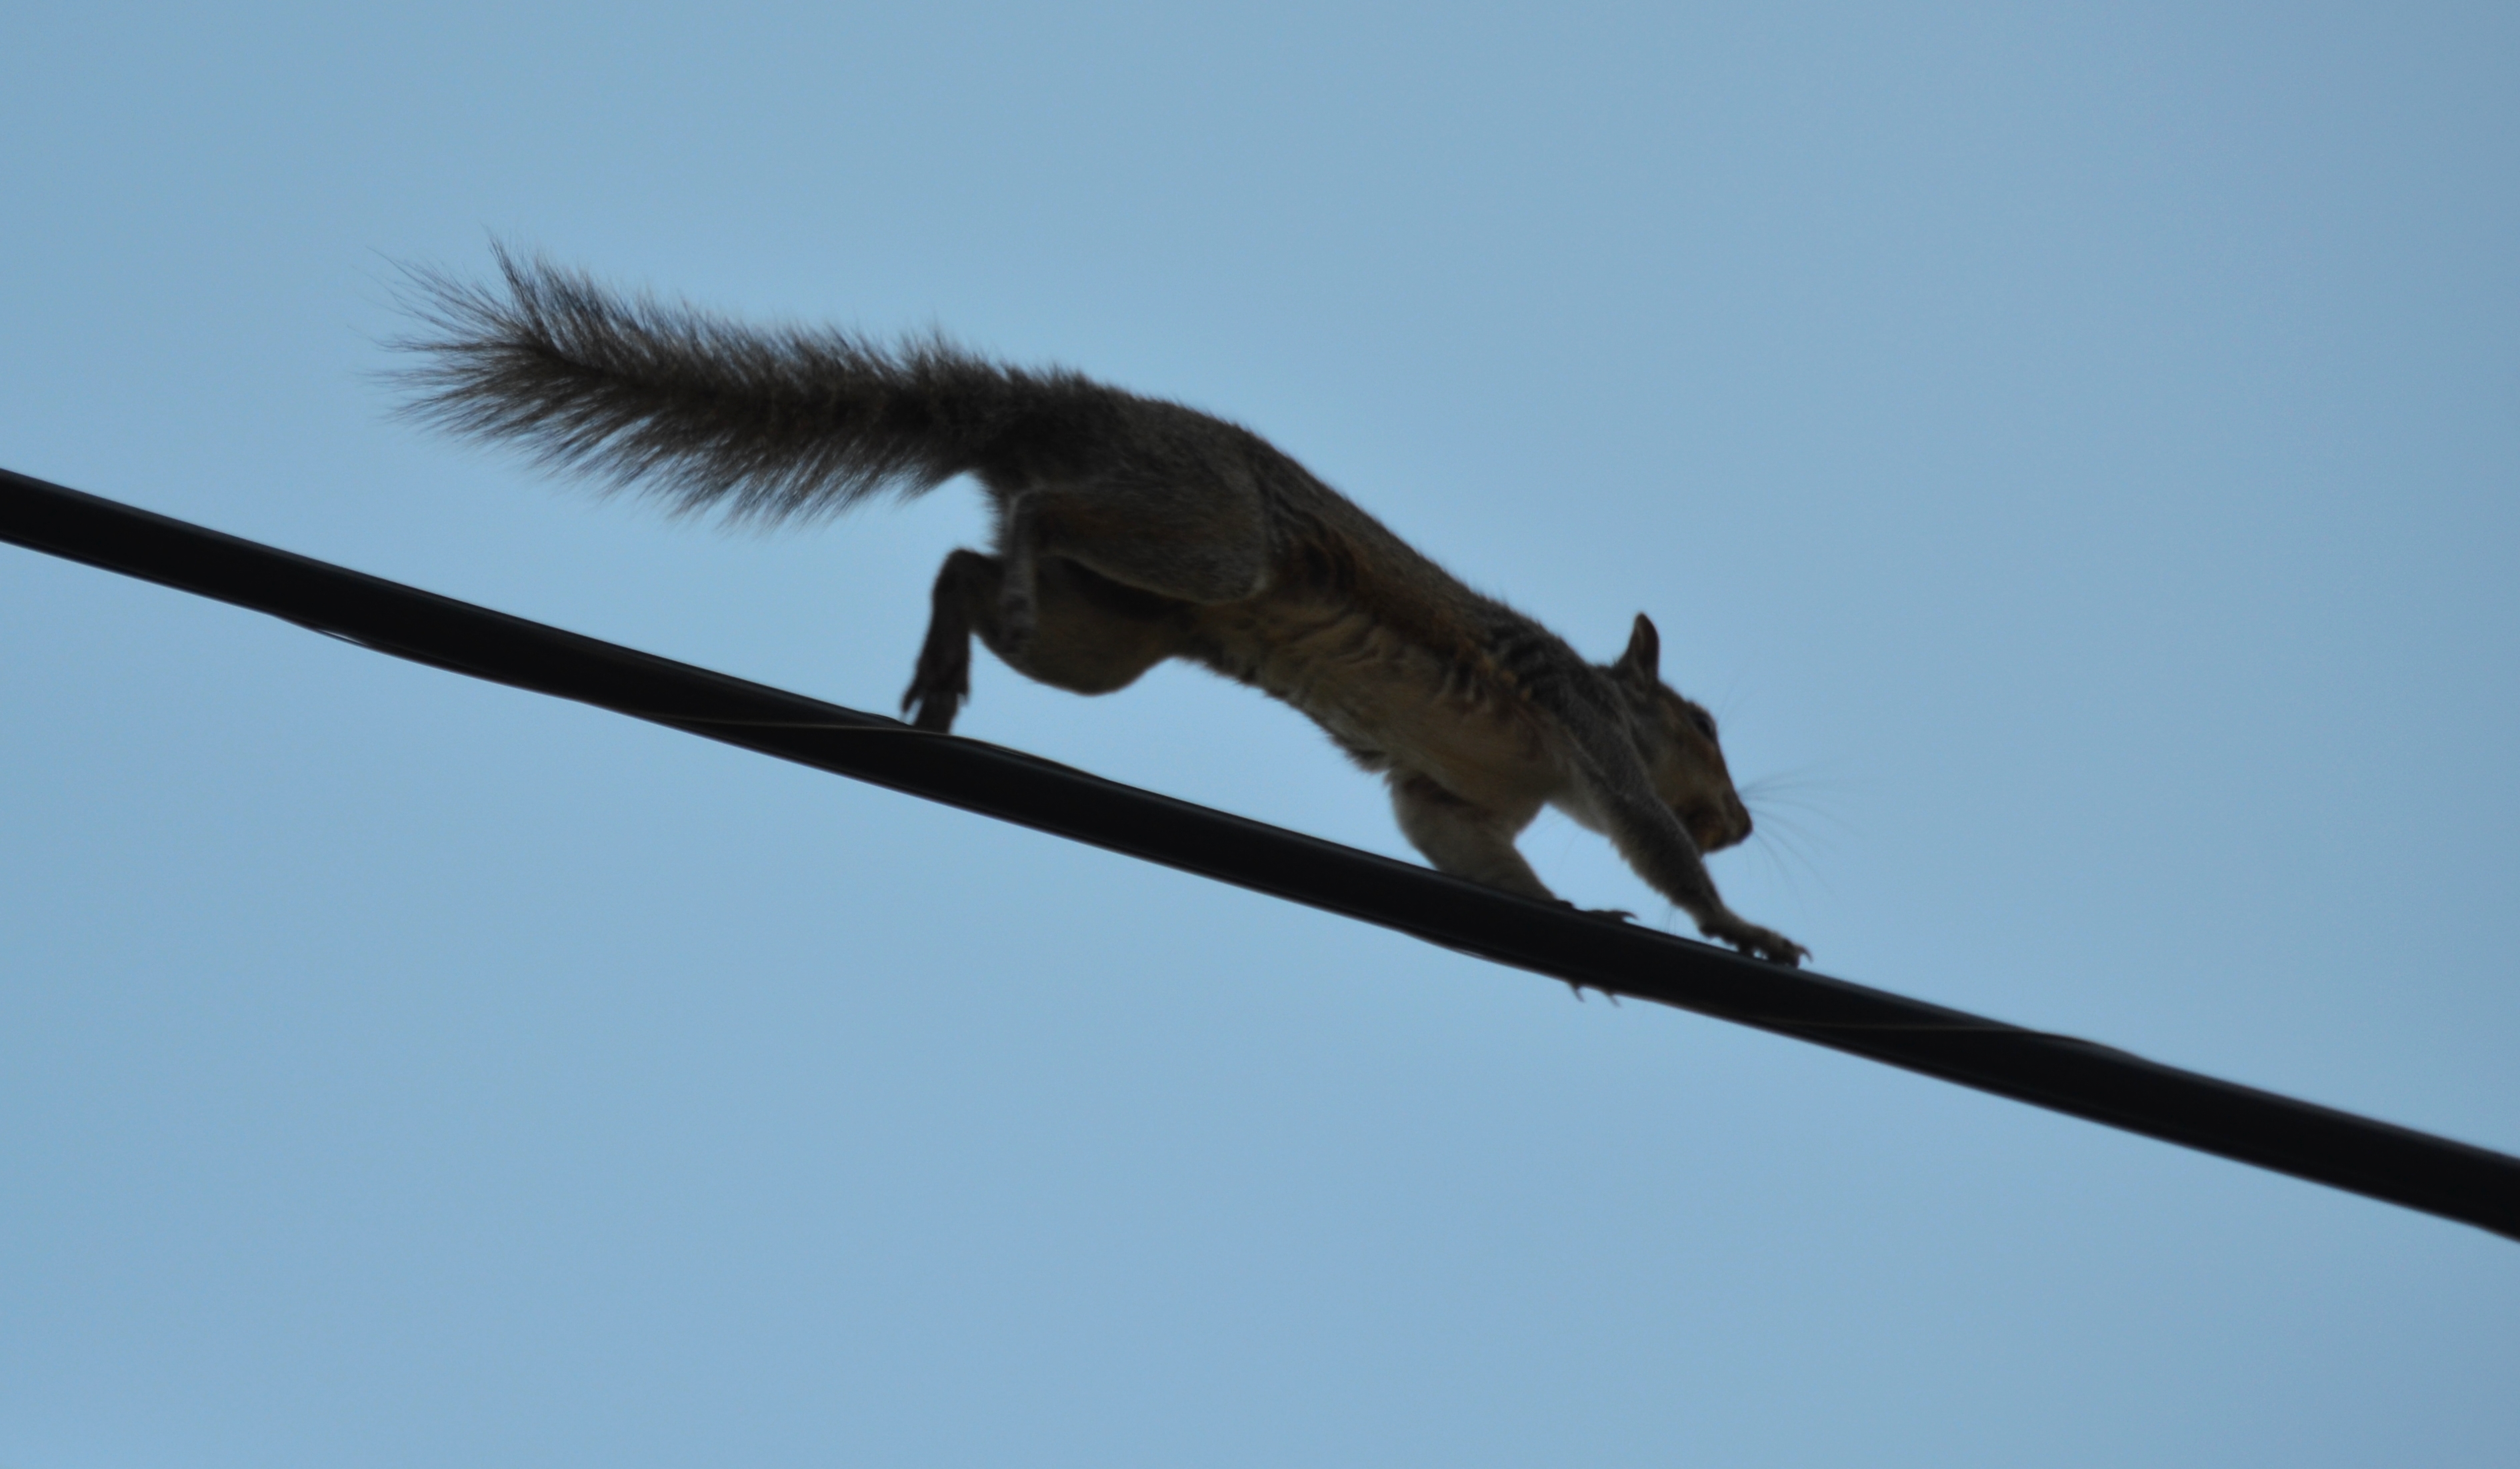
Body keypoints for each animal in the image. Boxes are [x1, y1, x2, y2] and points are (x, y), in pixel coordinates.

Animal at [388, 251, 1814, 968]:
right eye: (1698, 724)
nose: (1743, 820)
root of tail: (1054, 413)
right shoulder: (1586, 725)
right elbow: (1646, 833)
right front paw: (1735, 923)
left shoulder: (1451, 797)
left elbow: (1473, 855)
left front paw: (1572, 920)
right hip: (1212, 543)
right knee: (1039, 519)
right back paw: (1007, 567)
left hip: (1116, 632)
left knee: (966, 568)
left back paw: (950, 661)